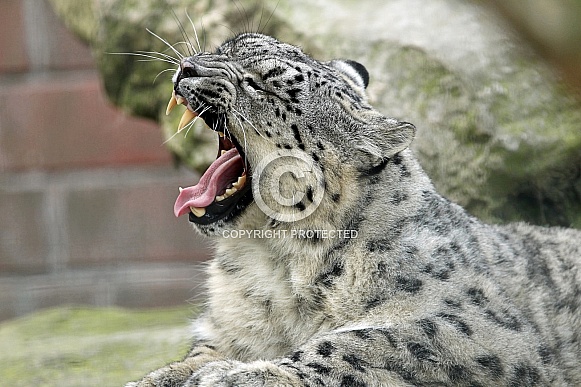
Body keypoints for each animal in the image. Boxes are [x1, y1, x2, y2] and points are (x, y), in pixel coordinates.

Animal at [128, 33, 580, 387]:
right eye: (226, 47)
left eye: (263, 86)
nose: (187, 67)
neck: (272, 262)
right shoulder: (229, 329)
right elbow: (196, 354)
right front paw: (160, 377)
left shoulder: (475, 328)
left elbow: (358, 340)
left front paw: (235, 375)